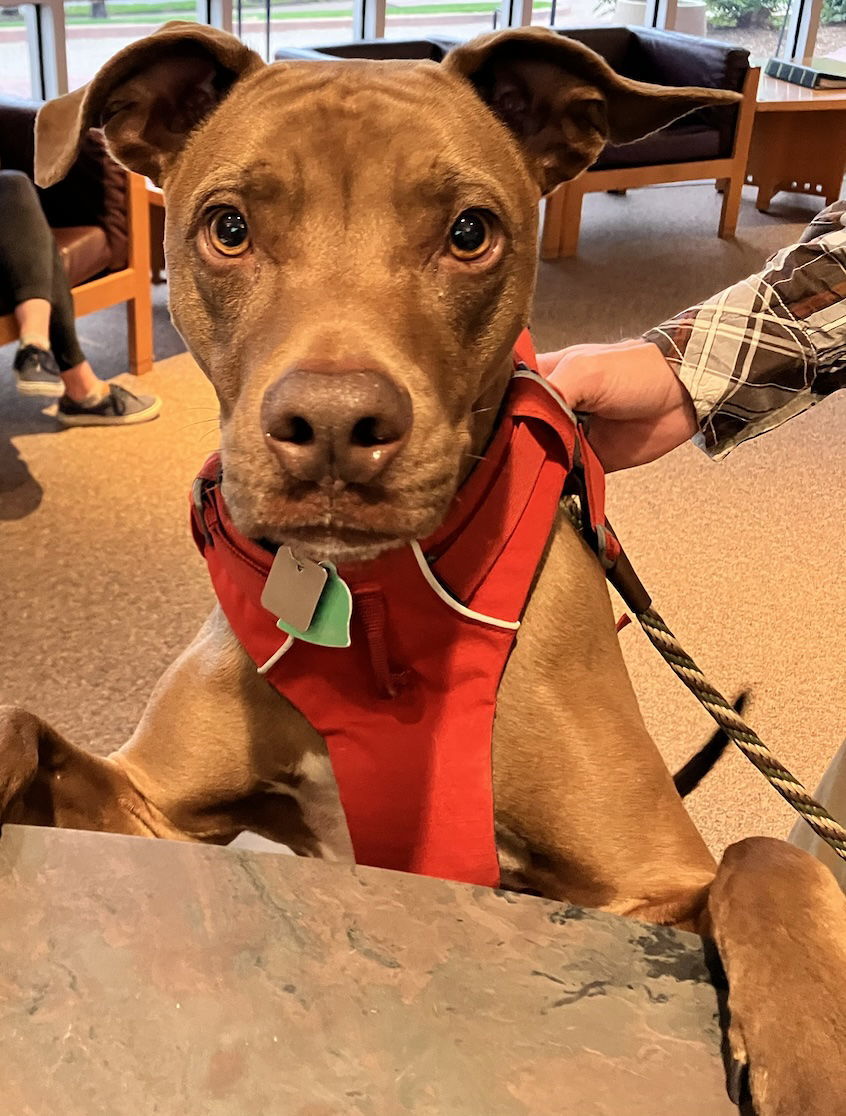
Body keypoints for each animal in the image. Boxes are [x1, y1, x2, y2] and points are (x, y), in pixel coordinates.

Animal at [1, 23, 846, 1107]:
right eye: (228, 228)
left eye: (470, 232)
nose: (331, 426)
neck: (369, 603)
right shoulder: (156, 815)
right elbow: (22, 722)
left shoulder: (650, 882)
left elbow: (763, 857)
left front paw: (811, 1056)